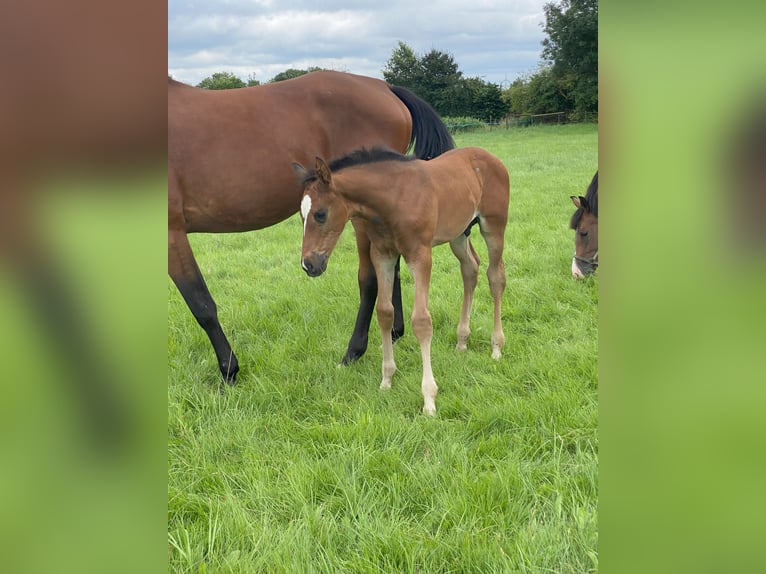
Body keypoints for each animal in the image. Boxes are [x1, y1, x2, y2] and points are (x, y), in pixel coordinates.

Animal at [296, 147, 512, 418]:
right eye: (301, 216)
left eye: (320, 214)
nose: (308, 264)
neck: (392, 199)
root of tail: (490, 157)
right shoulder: (383, 254)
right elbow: (384, 313)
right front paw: (387, 379)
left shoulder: (420, 255)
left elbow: (421, 320)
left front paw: (429, 399)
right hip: (459, 233)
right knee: (470, 269)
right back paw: (462, 340)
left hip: (494, 226)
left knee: (495, 276)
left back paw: (496, 347)